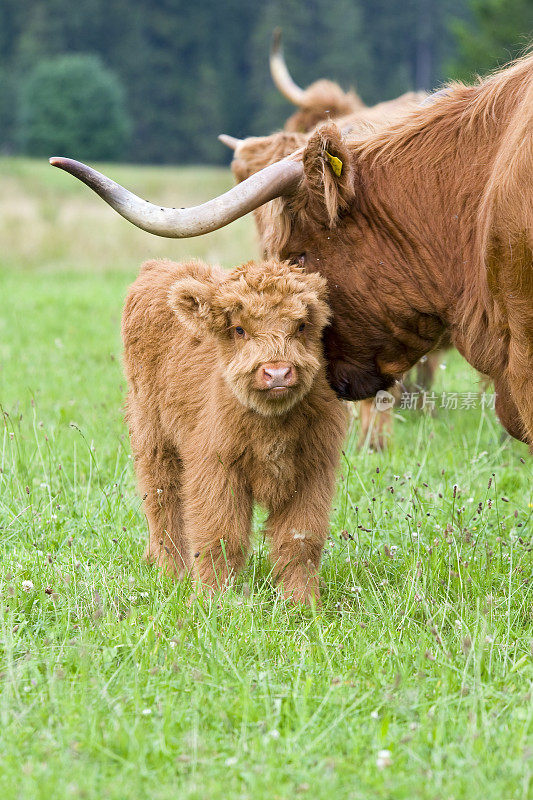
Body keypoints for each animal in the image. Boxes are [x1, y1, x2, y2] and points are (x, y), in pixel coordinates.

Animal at [122, 256, 348, 600]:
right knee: (163, 503)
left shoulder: (312, 470)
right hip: (153, 437)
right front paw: (212, 599)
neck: (271, 426)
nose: (277, 373)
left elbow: (300, 539)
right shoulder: (216, 467)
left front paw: (301, 602)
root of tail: (159, 265)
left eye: (301, 326)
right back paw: (173, 573)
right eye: (239, 329)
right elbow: (221, 534)